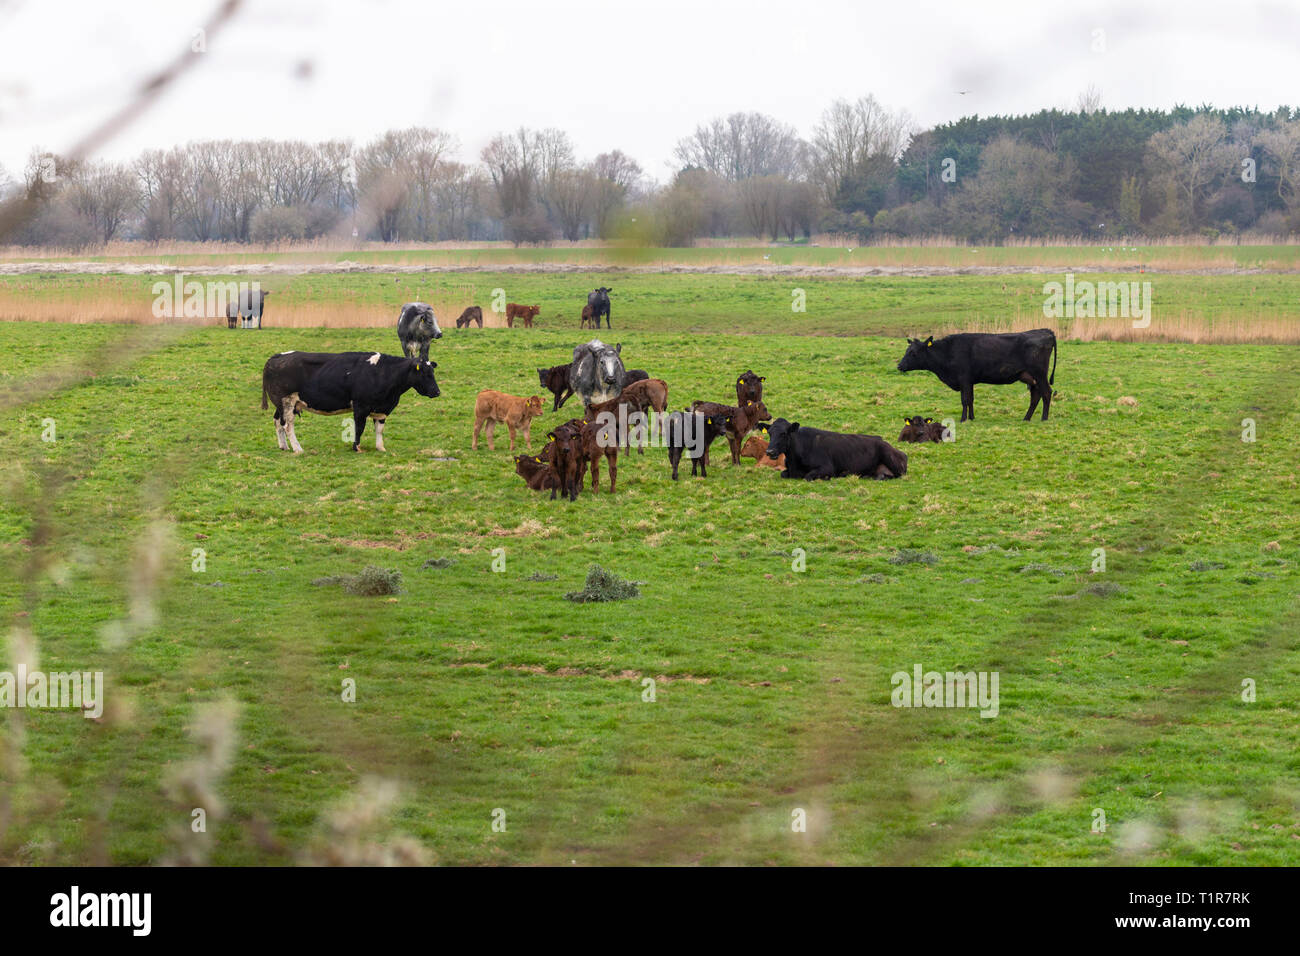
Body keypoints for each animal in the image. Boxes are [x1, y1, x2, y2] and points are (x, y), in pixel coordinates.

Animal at [759, 416, 904, 481]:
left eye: (784, 433)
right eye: (769, 433)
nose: (770, 452)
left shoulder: (827, 467)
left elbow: (808, 476)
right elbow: (783, 474)